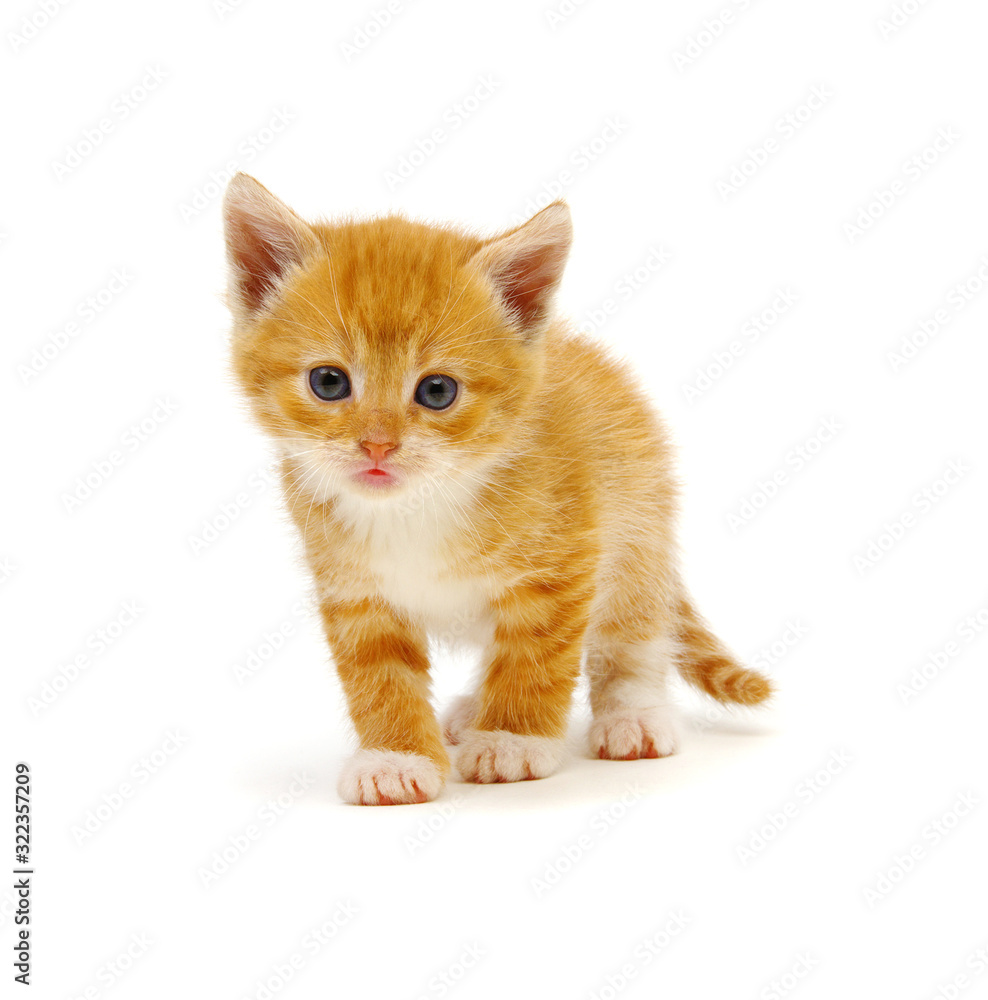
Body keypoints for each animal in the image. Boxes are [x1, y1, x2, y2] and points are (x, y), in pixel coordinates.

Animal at [224, 174, 772, 804]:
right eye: (329, 382)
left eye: (437, 391)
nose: (378, 447)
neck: (418, 503)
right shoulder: (351, 586)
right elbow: (378, 672)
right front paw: (394, 756)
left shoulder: (565, 563)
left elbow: (537, 656)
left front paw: (513, 740)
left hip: (638, 524)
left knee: (630, 632)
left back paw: (630, 713)